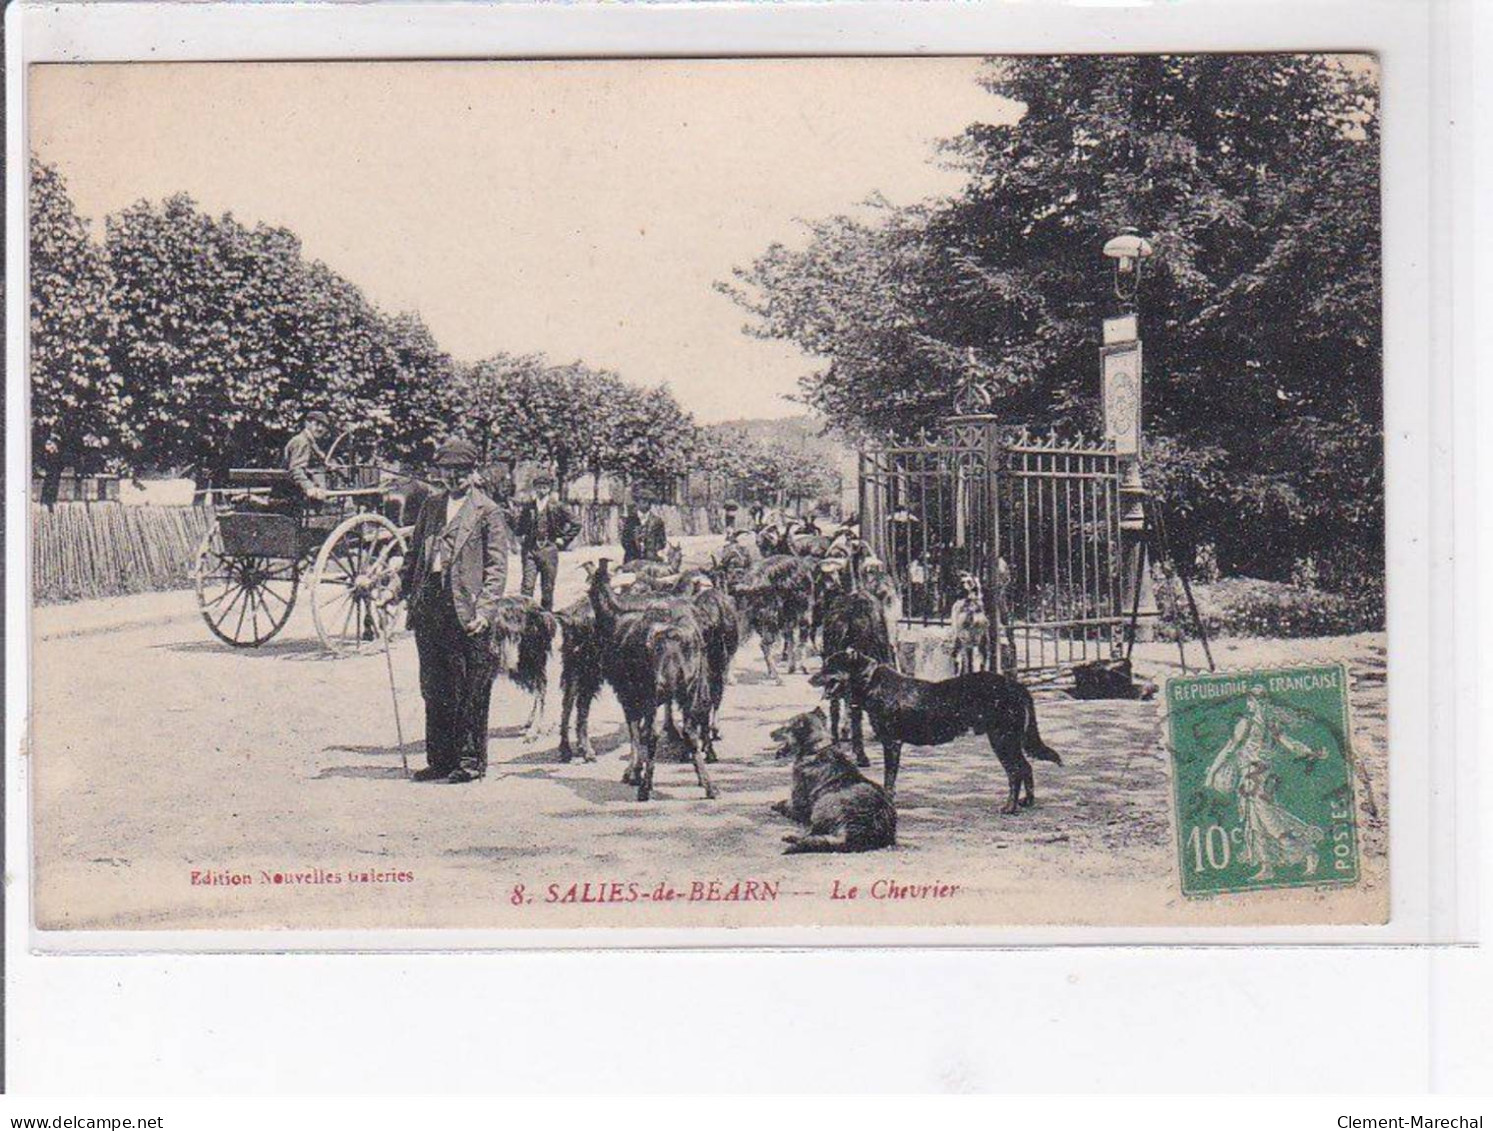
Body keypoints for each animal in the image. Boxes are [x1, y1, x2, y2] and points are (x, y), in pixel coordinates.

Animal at [776, 704, 889, 853]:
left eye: (786, 727)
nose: (771, 734)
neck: (817, 748)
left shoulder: (798, 804)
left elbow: (785, 805)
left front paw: (778, 805)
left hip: (820, 807)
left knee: (811, 832)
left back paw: (792, 837)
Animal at [806, 647, 1063, 817]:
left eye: (830, 666)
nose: (810, 678)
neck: (872, 683)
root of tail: (1016, 685)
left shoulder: (892, 742)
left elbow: (889, 777)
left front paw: (889, 800)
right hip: (1007, 740)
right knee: (1025, 768)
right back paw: (1027, 802)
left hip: (1002, 739)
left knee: (1016, 772)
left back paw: (1010, 806)